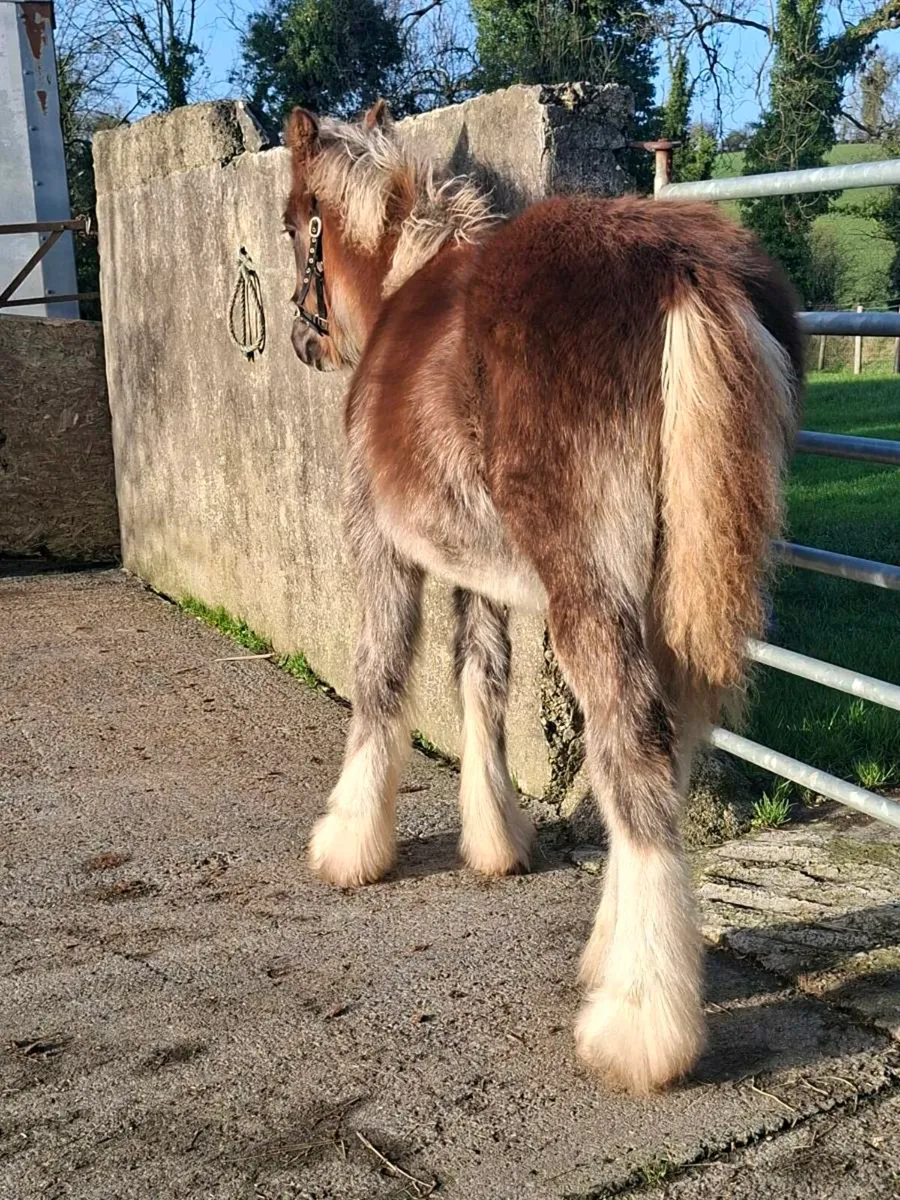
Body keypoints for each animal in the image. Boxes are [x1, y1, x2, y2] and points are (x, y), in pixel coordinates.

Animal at [281, 100, 804, 1095]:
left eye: (295, 223)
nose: (301, 339)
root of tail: (682, 270)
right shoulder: (478, 575)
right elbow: (480, 683)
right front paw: (496, 843)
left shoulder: (384, 547)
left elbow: (380, 678)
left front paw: (349, 844)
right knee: (666, 744)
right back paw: (615, 958)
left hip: (589, 587)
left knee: (636, 745)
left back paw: (640, 1025)